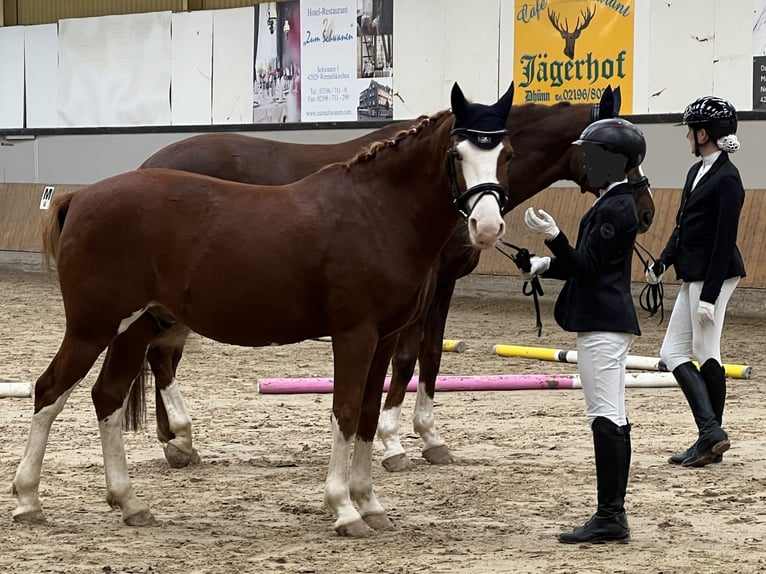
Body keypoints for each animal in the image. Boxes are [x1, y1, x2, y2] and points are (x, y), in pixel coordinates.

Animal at [10, 83, 516, 536]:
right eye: (457, 154)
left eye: (506, 154)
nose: (486, 226)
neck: (375, 212)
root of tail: (80, 197)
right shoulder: (354, 334)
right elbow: (346, 411)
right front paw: (344, 510)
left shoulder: (385, 338)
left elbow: (369, 416)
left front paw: (370, 505)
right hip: (92, 328)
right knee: (49, 391)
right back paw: (29, 500)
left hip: (135, 329)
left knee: (108, 398)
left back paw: (131, 503)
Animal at [138, 86, 656, 472]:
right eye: (625, 157)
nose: (647, 212)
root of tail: (149, 167)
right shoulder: (420, 289)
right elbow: (406, 359)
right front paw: (393, 442)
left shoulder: (442, 284)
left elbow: (430, 356)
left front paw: (429, 438)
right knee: (161, 357)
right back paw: (180, 440)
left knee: (161, 355)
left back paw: (175, 441)